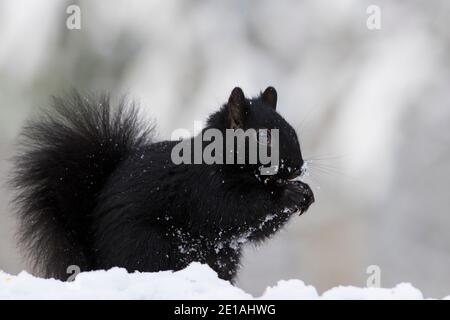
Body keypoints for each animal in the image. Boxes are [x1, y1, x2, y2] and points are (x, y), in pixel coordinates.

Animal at [10, 87, 312, 280]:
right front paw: (288, 194)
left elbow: (254, 229)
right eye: (264, 138)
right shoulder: (205, 189)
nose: (299, 167)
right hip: (153, 248)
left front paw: (305, 193)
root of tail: (99, 264)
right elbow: (235, 212)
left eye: (292, 129)